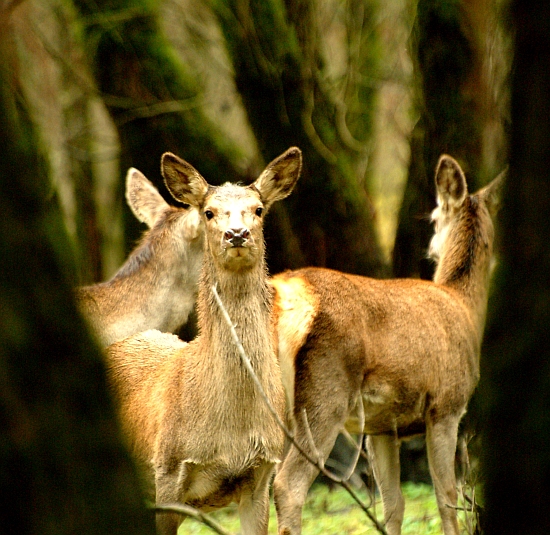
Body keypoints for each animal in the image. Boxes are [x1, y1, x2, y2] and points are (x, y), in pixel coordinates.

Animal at [270, 155, 506, 535]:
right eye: (435, 218)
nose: (430, 248)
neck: (465, 307)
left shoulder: (381, 427)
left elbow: (394, 505)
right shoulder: (446, 405)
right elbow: (448, 497)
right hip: (324, 393)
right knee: (287, 486)